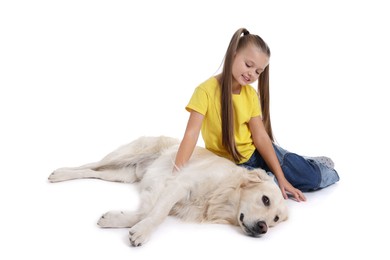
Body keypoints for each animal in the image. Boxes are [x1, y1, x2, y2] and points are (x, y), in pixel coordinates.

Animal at [48, 135, 286, 247]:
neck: (222, 191)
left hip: (121, 174)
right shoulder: (179, 185)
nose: (264, 227)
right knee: (89, 164)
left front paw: (115, 220)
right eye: (265, 199)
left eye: (275, 219)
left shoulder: (162, 192)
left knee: (92, 171)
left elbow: (145, 213)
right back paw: (59, 173)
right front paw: (142, 233)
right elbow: (157, 215)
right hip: (124, 156)